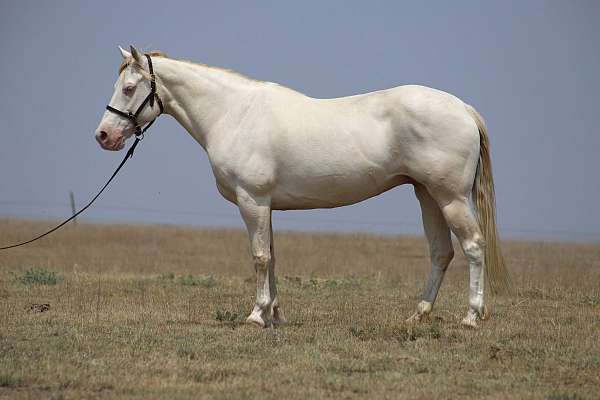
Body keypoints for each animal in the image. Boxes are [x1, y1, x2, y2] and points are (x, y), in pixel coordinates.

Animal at [95, 46, 510, 328]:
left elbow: (259, 257)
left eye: (129, 88)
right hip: (426, 194)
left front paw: (256, 315)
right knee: (441, 252)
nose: (103, 136)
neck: (234, 113)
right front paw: (274, 315)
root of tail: (464, 109)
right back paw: (418, 314)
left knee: (473, 246)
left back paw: (471, 316)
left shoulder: (252, 200)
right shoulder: (266, 205)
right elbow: (272, 255)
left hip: (450, 197)